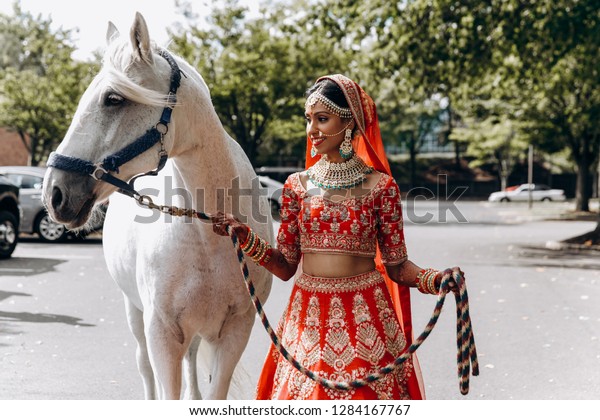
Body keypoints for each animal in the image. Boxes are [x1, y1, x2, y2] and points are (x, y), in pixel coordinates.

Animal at [43, 13, 274, 398]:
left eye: (113, 98)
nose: (54, 193)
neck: (209, 236)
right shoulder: (161, 333)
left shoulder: (235, 332)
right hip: (135, 315)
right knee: (144, 368)